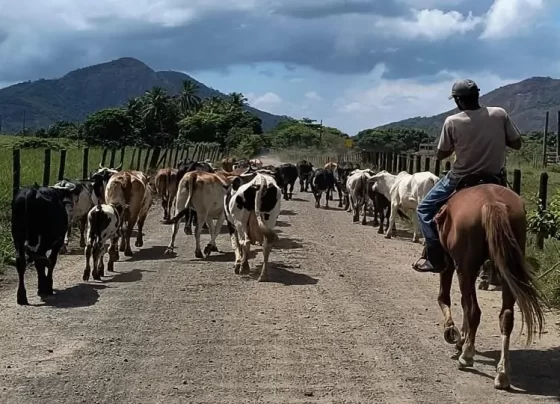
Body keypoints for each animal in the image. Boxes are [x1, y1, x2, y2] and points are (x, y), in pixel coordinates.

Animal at [430, 175, 544, 390]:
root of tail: (492, 203)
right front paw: (462, 338)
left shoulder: (451, 263)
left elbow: (446, 298)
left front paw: (453, 333)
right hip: (506, 268)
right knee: (506, 317)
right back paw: (503, 373)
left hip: (465, 268)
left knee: (473, 310)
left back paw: (466, 357)